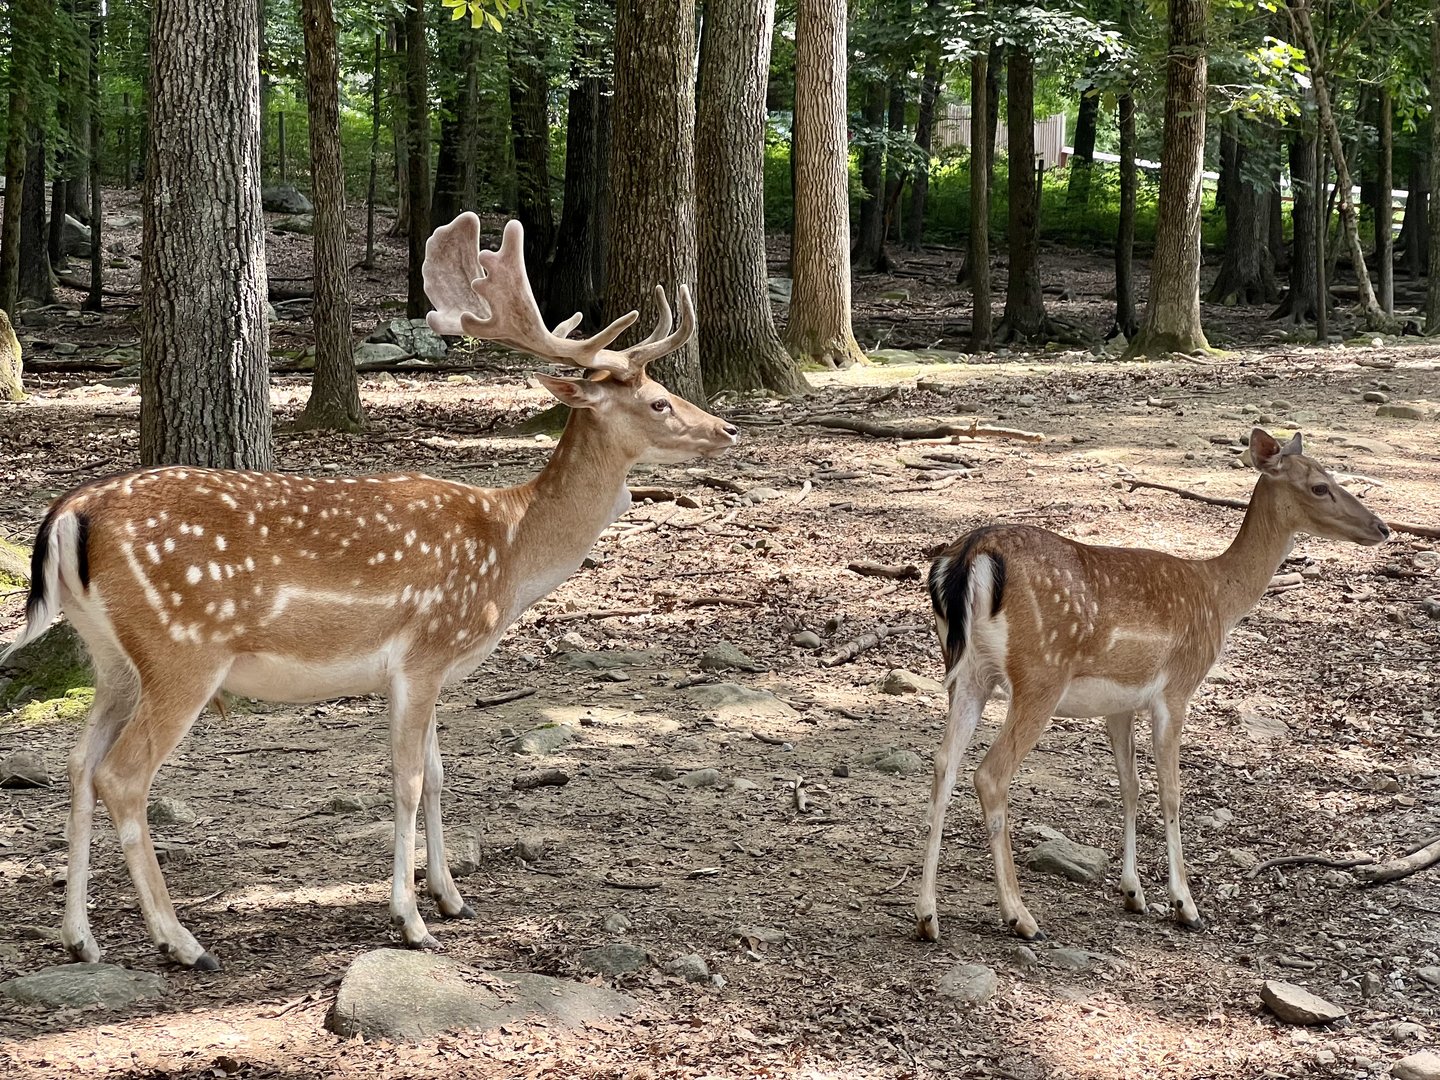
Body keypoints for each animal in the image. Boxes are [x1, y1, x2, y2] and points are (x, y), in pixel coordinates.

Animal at [0, 214, 738, 971]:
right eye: (657, 400)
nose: (728, 428)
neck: (509, 551)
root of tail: (70, 512)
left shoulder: (431, 669)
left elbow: (439, 774)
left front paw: (452, 897)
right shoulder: (424, 651)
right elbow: (406, 779)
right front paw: (411, 921)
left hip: (112, 655)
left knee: (77, 764)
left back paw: (80, 937)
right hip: (183, 650)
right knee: (123, 775)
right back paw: (182, 941)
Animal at [915, 429, 1390, 943]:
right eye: (1320, 486)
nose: (1382, 528)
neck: (1219, 597)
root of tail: (969, 557)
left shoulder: (1119, 703)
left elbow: (1130, 785)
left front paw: (1133, 894)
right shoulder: (1176, 689)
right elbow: (1170, 791)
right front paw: (1185, 904)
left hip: (966, 673)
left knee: (943, 763)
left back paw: (927, 916)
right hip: (1040, 674)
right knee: (990, 773)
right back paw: (1020, 916)